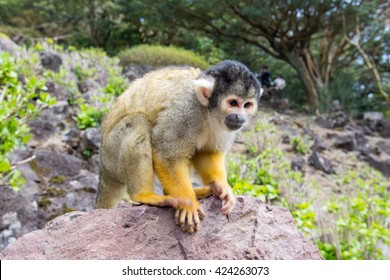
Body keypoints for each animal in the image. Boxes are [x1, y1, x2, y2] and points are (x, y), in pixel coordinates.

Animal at [95, 60, 260, 233]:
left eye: (247, 105)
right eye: (233, 103)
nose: (240, 117)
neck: (208, 111)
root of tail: (103, 167)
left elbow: (207, 153)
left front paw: (222, 187)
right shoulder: (186, 111)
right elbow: (168, 154)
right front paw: (188, 203)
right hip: (112, 153)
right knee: (136, 122)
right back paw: (145, 195)